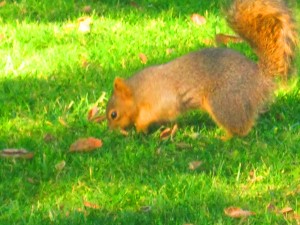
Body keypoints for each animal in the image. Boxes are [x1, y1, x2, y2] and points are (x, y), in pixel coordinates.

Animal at [106, 0, 298, 139]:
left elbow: (158, 113)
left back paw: (223, 138)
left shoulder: (162, 99)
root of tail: (260, 78)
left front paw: (139, 126)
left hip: (223, 101)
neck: (139, 91)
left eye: (113, 114)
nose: (110, 131)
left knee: (241, 128)